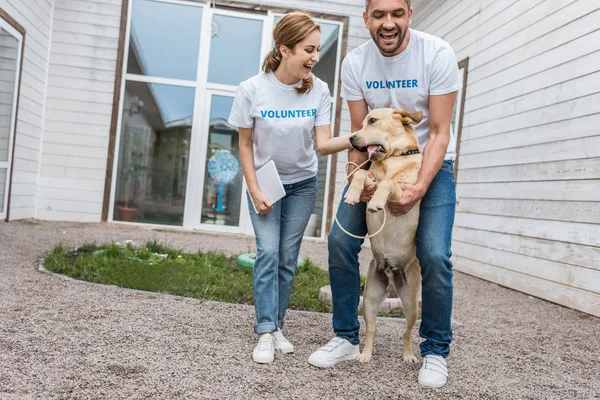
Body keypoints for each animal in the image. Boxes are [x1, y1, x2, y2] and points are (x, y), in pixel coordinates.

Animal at [344, 108, 424, 364]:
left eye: (372, 121)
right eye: (361, 122)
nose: (350, 138)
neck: (393, 159)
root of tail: (391, 271)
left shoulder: (404, 194)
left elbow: (388, 183)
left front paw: (377, 201)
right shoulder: (369, 177)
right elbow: (362, 175)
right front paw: (352, 194)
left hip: (411, 304)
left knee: (407, 332)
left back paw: (408, 356)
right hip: (369, 299)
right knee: (372, 328)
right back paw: (365, 355)